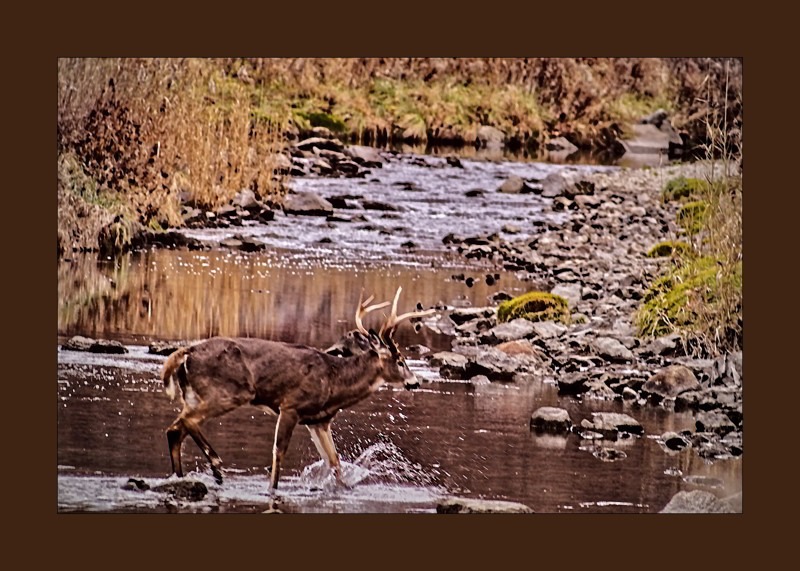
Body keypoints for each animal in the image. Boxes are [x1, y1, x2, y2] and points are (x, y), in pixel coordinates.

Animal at [160, 286, 434, 492]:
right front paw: (272, 490)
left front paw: (343, 489)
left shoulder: (319, 420)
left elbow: (334, 461)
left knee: (176, 429)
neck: (334, 382)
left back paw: (181, 476)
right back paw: (216, 468)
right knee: (186, 423)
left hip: (194, 396)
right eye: (400, 360)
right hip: (228, 392)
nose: (415, 381)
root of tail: (186, 352)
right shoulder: (291, 405)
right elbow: (278, 453)